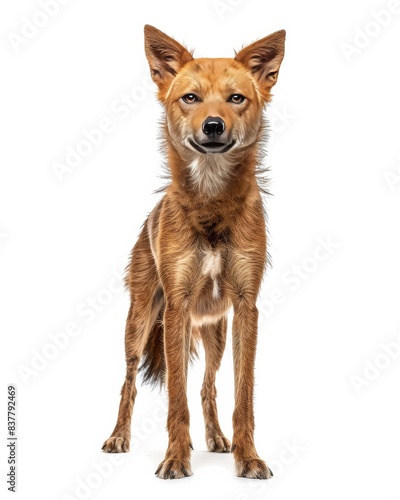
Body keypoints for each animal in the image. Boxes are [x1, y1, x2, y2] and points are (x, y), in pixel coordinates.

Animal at [101, 24, 286, 480]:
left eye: (236, 98)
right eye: (190, 98)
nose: (214, 125)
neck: (211, 203)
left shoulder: (246, 307)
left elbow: (242, 395)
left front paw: (248, 457)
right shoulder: (177, 307)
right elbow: (174, 399)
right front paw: (175, 458)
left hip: (215, 332)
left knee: (207, 385)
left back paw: (218, 439)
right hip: (140, 323)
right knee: (129, 381)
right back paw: (118, 437)